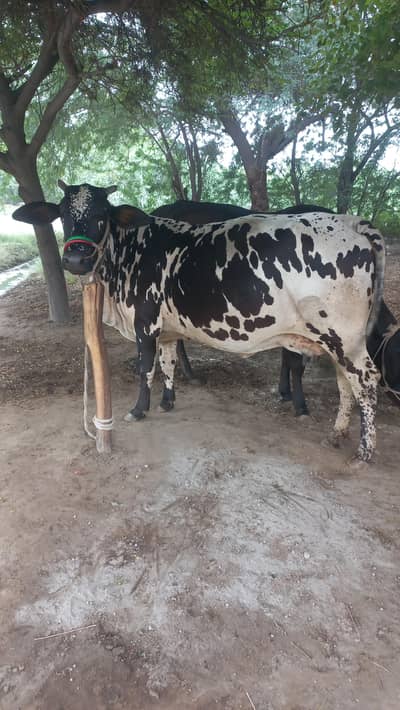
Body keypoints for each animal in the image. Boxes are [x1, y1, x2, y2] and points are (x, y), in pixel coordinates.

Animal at [13, 181, 386, 462]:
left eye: (101, 215)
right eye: (62, 214)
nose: (75, 258)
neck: (132, 252)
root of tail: (351, 222)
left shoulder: (145, 323)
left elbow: (145, 368)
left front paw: (139, 409)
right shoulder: (166, 330)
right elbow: (168, 363)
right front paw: (167, 401)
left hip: (344, 338)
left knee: (366, 381)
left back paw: (364, 451)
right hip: (336, 341)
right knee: (345, 382)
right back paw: (337, 433)